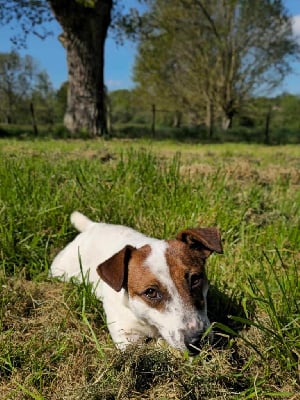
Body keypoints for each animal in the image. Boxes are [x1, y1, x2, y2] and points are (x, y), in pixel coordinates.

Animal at [49, 211, 223, 354]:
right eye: (151, 292)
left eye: (195, 279)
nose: (196, 340)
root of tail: (92, 226)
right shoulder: (126, 335)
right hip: (61, 270)